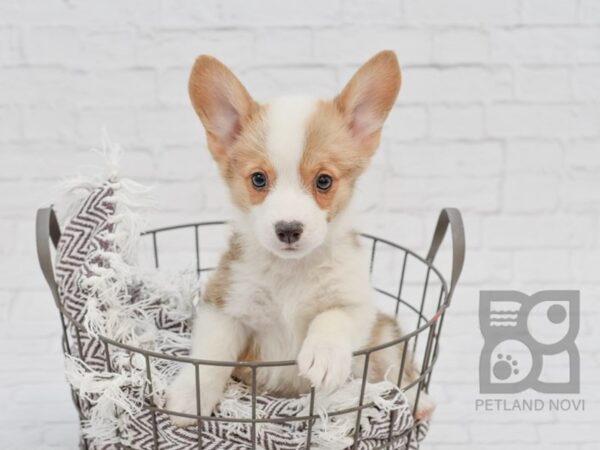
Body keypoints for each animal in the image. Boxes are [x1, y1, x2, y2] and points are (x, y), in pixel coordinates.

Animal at [166, 50, 434, 426]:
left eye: (324, 181)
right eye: (259, 179)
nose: (289, 228)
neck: (290, 273)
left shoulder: (357, 303)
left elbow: (333, 316)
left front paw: (323, 355)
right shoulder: (225, 306)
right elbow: (211, 357)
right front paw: (189, 398)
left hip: (384, 334)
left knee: (395, 372)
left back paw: (416, 401)